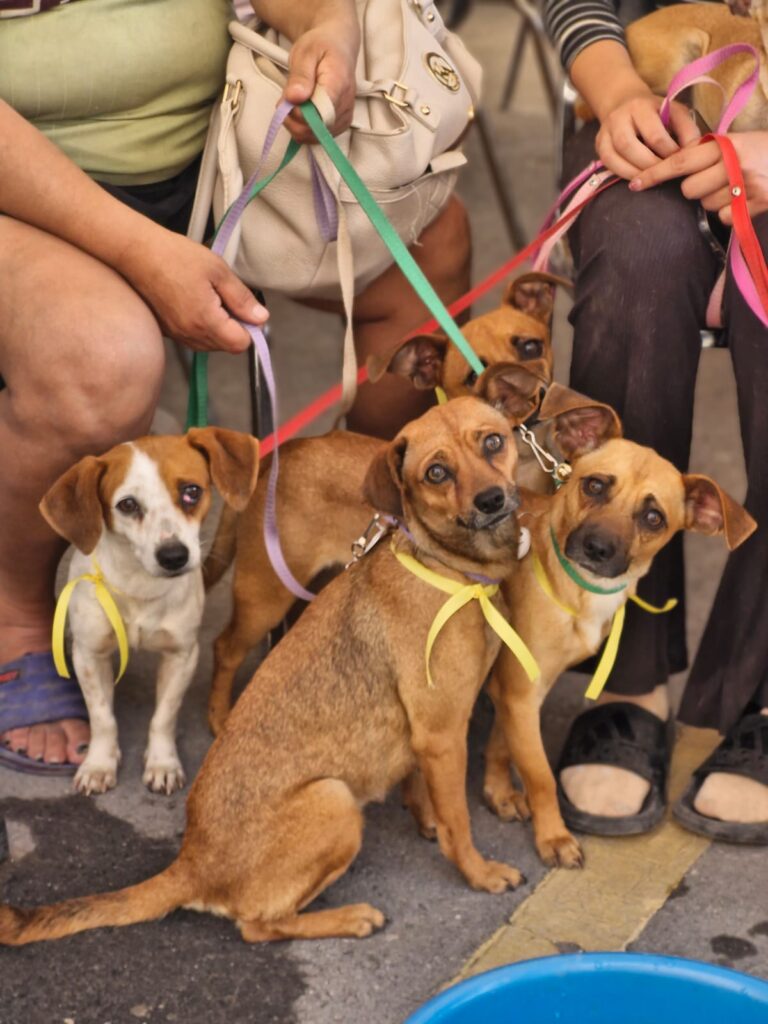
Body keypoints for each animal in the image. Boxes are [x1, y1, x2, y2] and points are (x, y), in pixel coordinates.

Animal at [39, 428, 262, 794]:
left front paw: (163, 763)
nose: (174, 556)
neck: (140, 588)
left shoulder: (182, 654)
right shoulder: (89, 655)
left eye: (191, 491)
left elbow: (164, 717)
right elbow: (102, 717)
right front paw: (99, 763)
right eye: (127, 505)